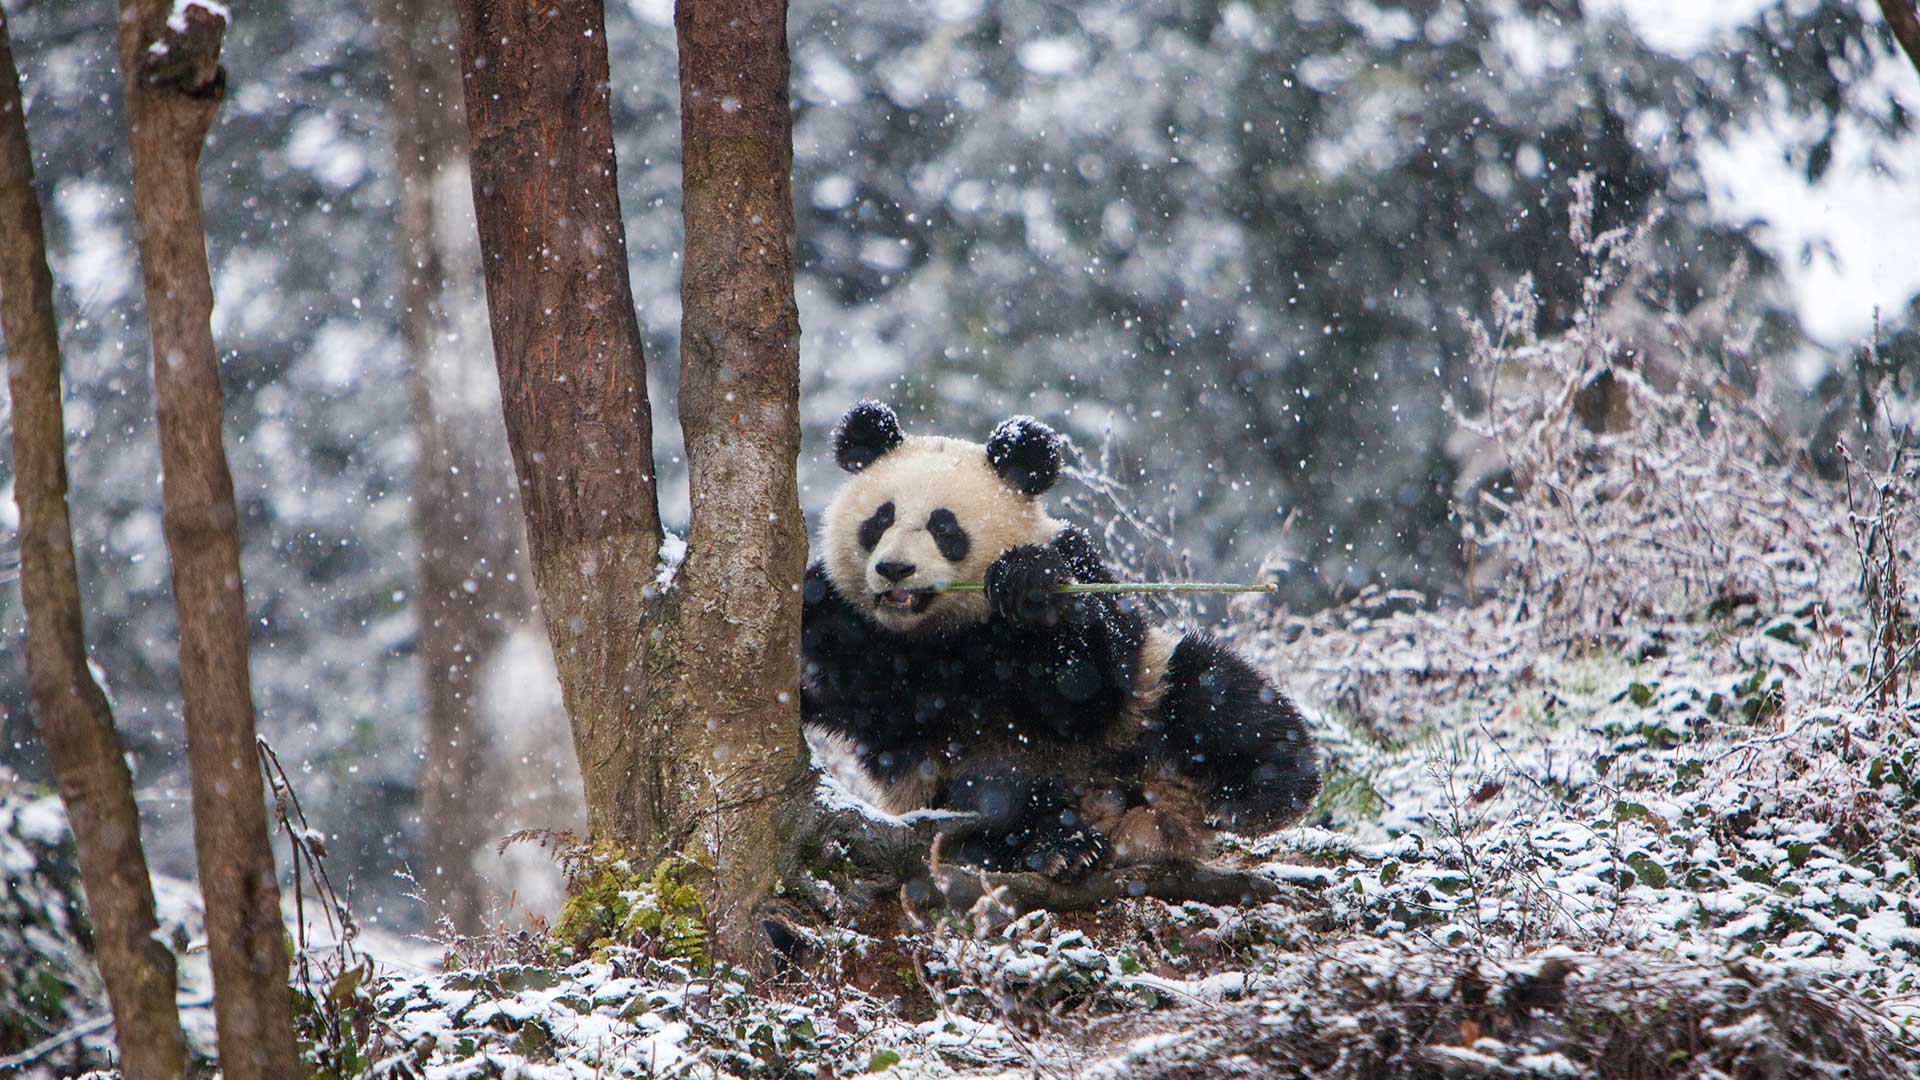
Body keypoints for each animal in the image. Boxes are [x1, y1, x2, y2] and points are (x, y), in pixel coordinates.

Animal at [798, 399, 1320, 880]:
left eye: (944, 527)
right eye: (879, 520)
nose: (895, 569)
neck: (939, 636)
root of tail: (1141, 818)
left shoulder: (1076, 562)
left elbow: (1087, 684)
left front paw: (1026, 585)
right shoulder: (851, 630)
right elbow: (816, 665)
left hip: (1146, 705)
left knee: (1218, 695)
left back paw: (1259, 796)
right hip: (950, 781)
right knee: (992, 802)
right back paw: (1061, 845)